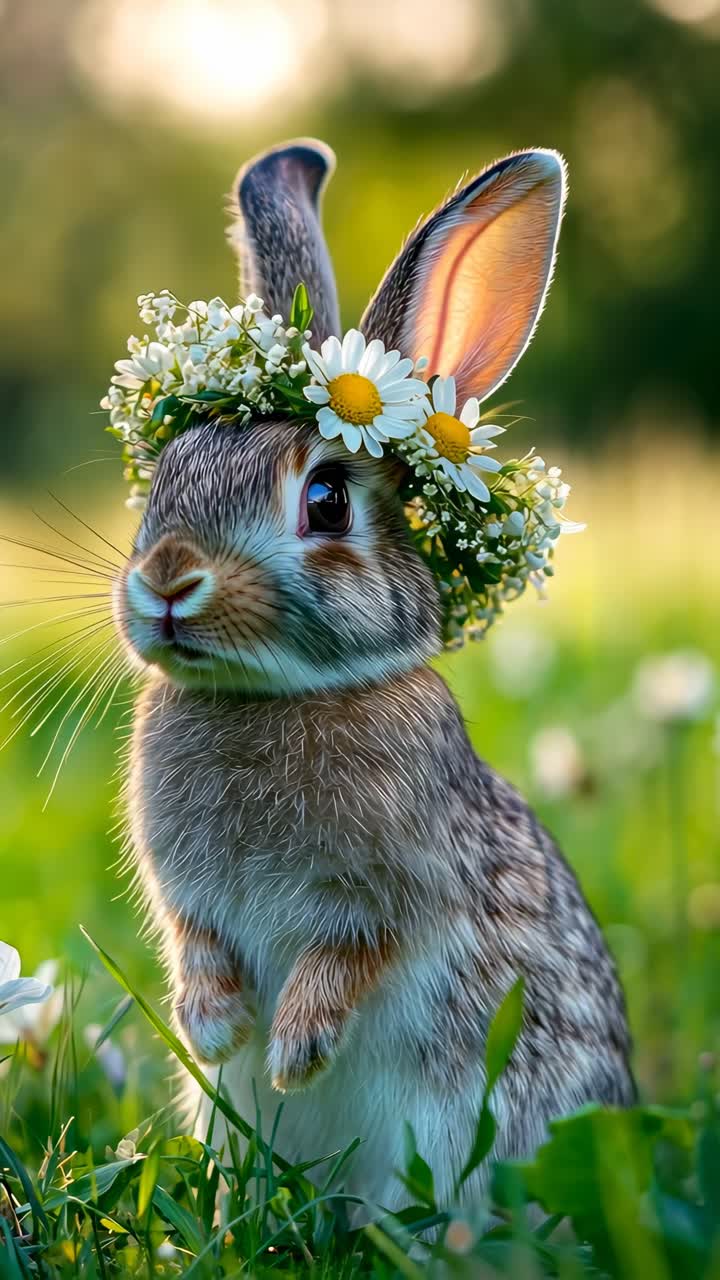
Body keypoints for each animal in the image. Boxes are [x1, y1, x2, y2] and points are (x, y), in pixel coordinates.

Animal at [115, 138, 634, 1212]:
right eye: (167, 471)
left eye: (324, 499)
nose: (168, 579)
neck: (275, 694)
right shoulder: (187, 898)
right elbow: (200, 942)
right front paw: (215, 1027)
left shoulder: (399, 893)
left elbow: (353, 956)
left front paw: (294, 1050)